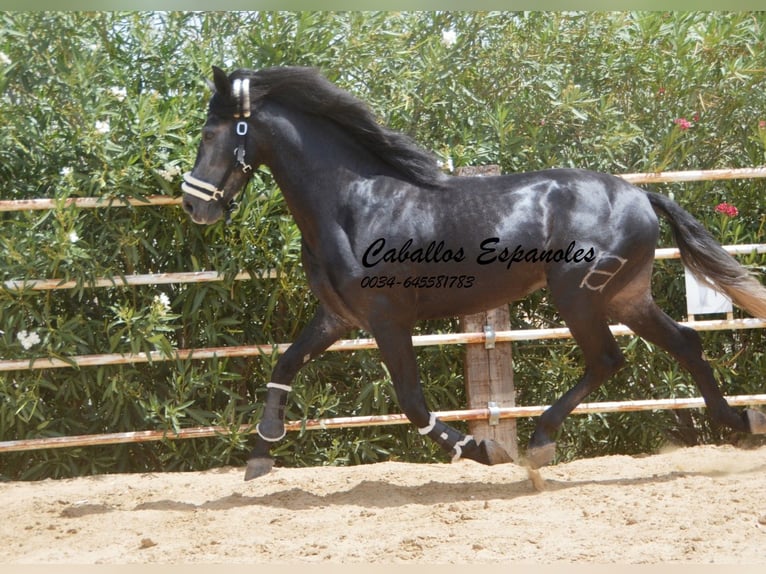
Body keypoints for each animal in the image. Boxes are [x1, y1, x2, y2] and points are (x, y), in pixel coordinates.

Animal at [184, 66, 766, 482]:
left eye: (211, 132)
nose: (194, 205)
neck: (354, 204)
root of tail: (641, 194)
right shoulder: (338, 317)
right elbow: (285, 362)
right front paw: (261, 451)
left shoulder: (387, 320)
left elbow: (411, 401)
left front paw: (482, 449)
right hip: (627, 297)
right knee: (686, 342)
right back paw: (742, 422)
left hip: (577, 295)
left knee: (606, 359)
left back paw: (537, 445)